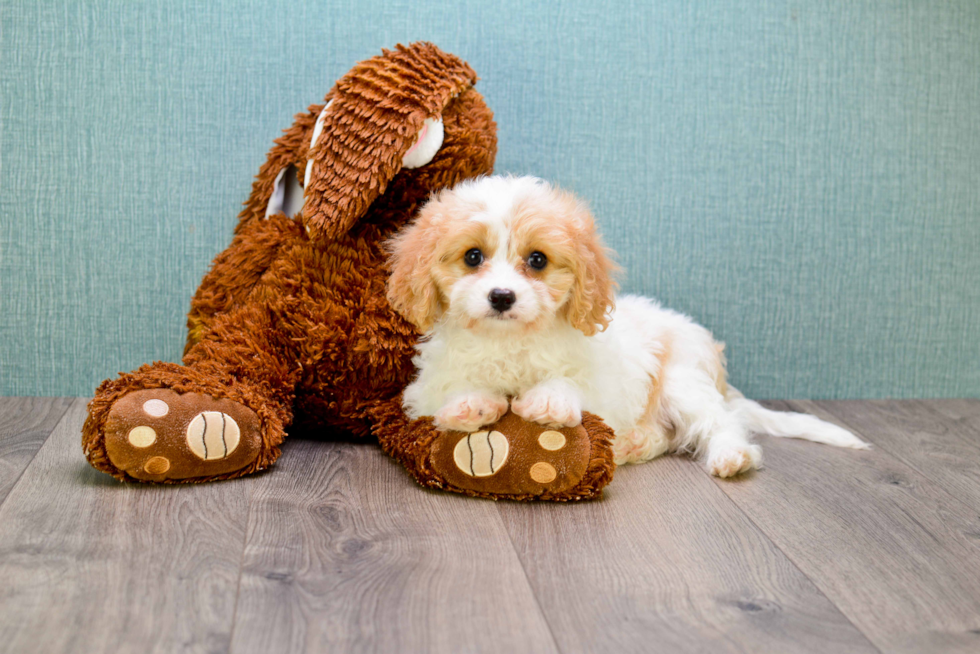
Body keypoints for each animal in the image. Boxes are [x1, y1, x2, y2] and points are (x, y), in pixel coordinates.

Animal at [386, 177, 868, 480]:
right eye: (472, 257)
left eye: (537, 260)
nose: (502, 296)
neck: (509, 343)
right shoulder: (425, 388)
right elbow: (448, 390)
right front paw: (471, 403)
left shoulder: (601, 381)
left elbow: (571, 383)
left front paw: (548, 399)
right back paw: (636, 444)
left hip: (683, 380)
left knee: (721, 423)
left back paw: (730, 455)